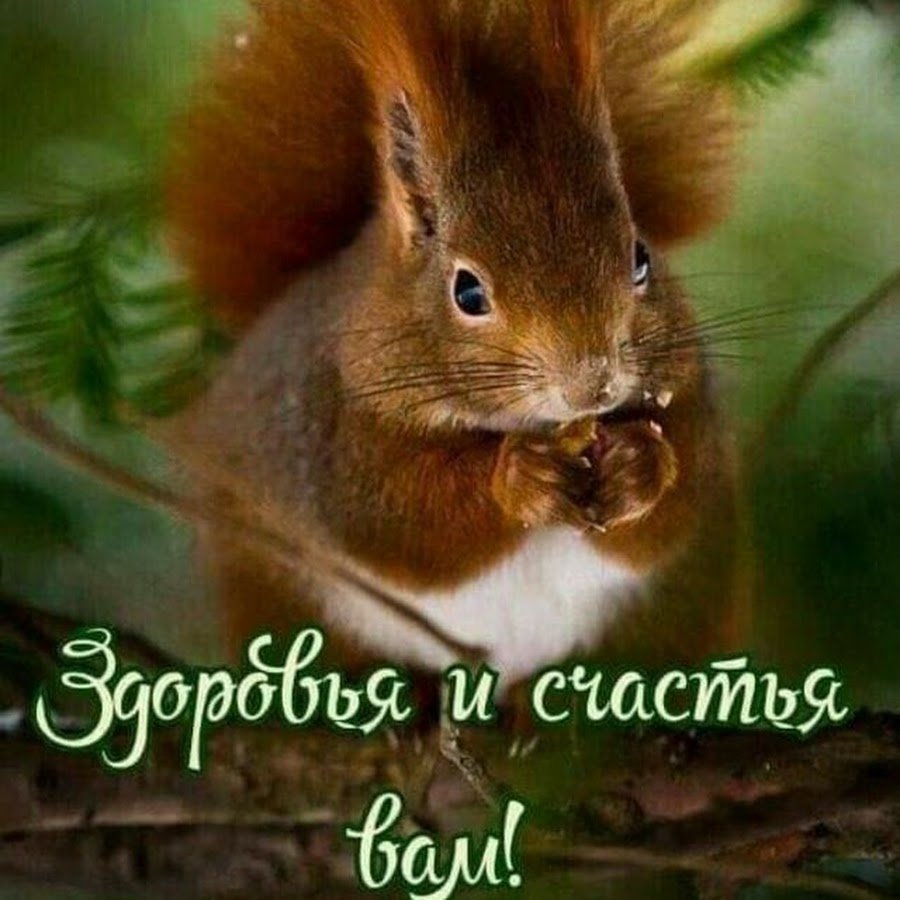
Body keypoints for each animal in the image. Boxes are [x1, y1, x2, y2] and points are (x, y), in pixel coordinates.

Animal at [165, 0, 748, 688]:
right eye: (467, 292)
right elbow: (409, 531)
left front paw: (642, 464)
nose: (594, 384)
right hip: (279, 589)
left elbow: (666, 523)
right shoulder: (334, 436)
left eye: (640, 258)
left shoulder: (691, 408)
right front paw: (518, 475)